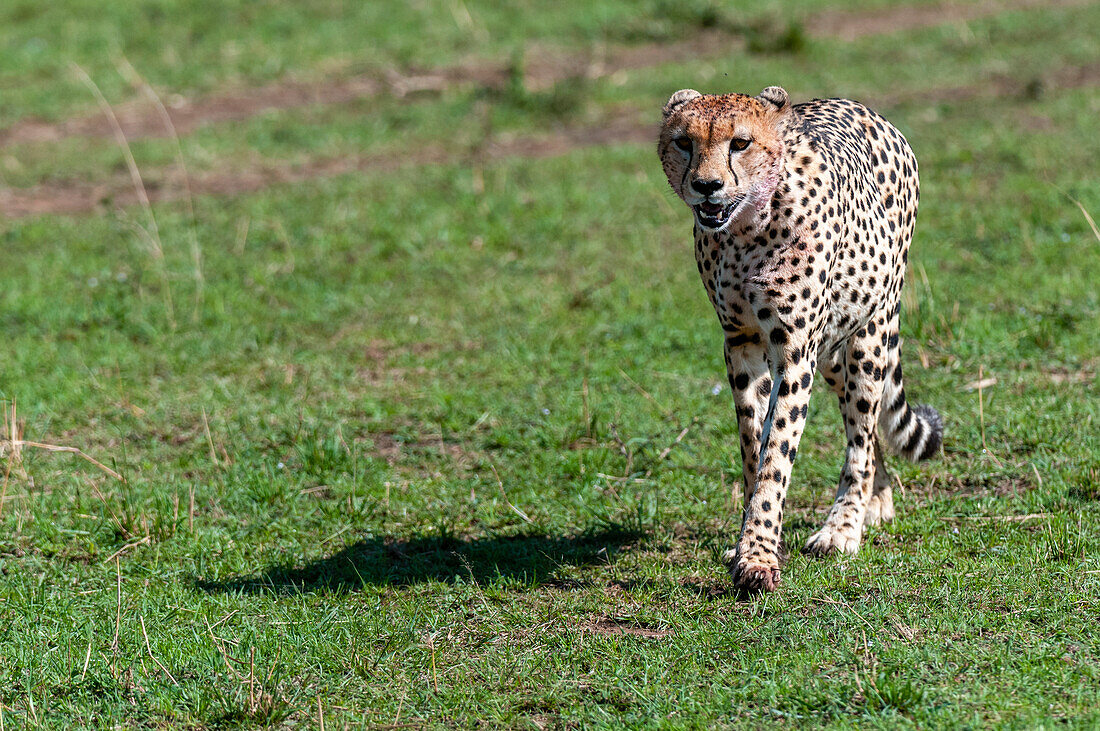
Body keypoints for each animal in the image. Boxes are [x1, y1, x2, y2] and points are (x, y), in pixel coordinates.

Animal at [655, 84, 941, 593]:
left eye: (740, 143)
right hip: (831, 351)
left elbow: (777, 452)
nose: (706, 185)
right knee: (863, 424)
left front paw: (758, 557)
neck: (745, 230)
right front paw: (749, 543)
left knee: (860, 434)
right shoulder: (741, 342)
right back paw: (878, 498)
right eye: (684, 142)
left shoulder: (793, 351)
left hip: (870, 332)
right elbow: (754, 446)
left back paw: (844, 525)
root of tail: (864, 108)